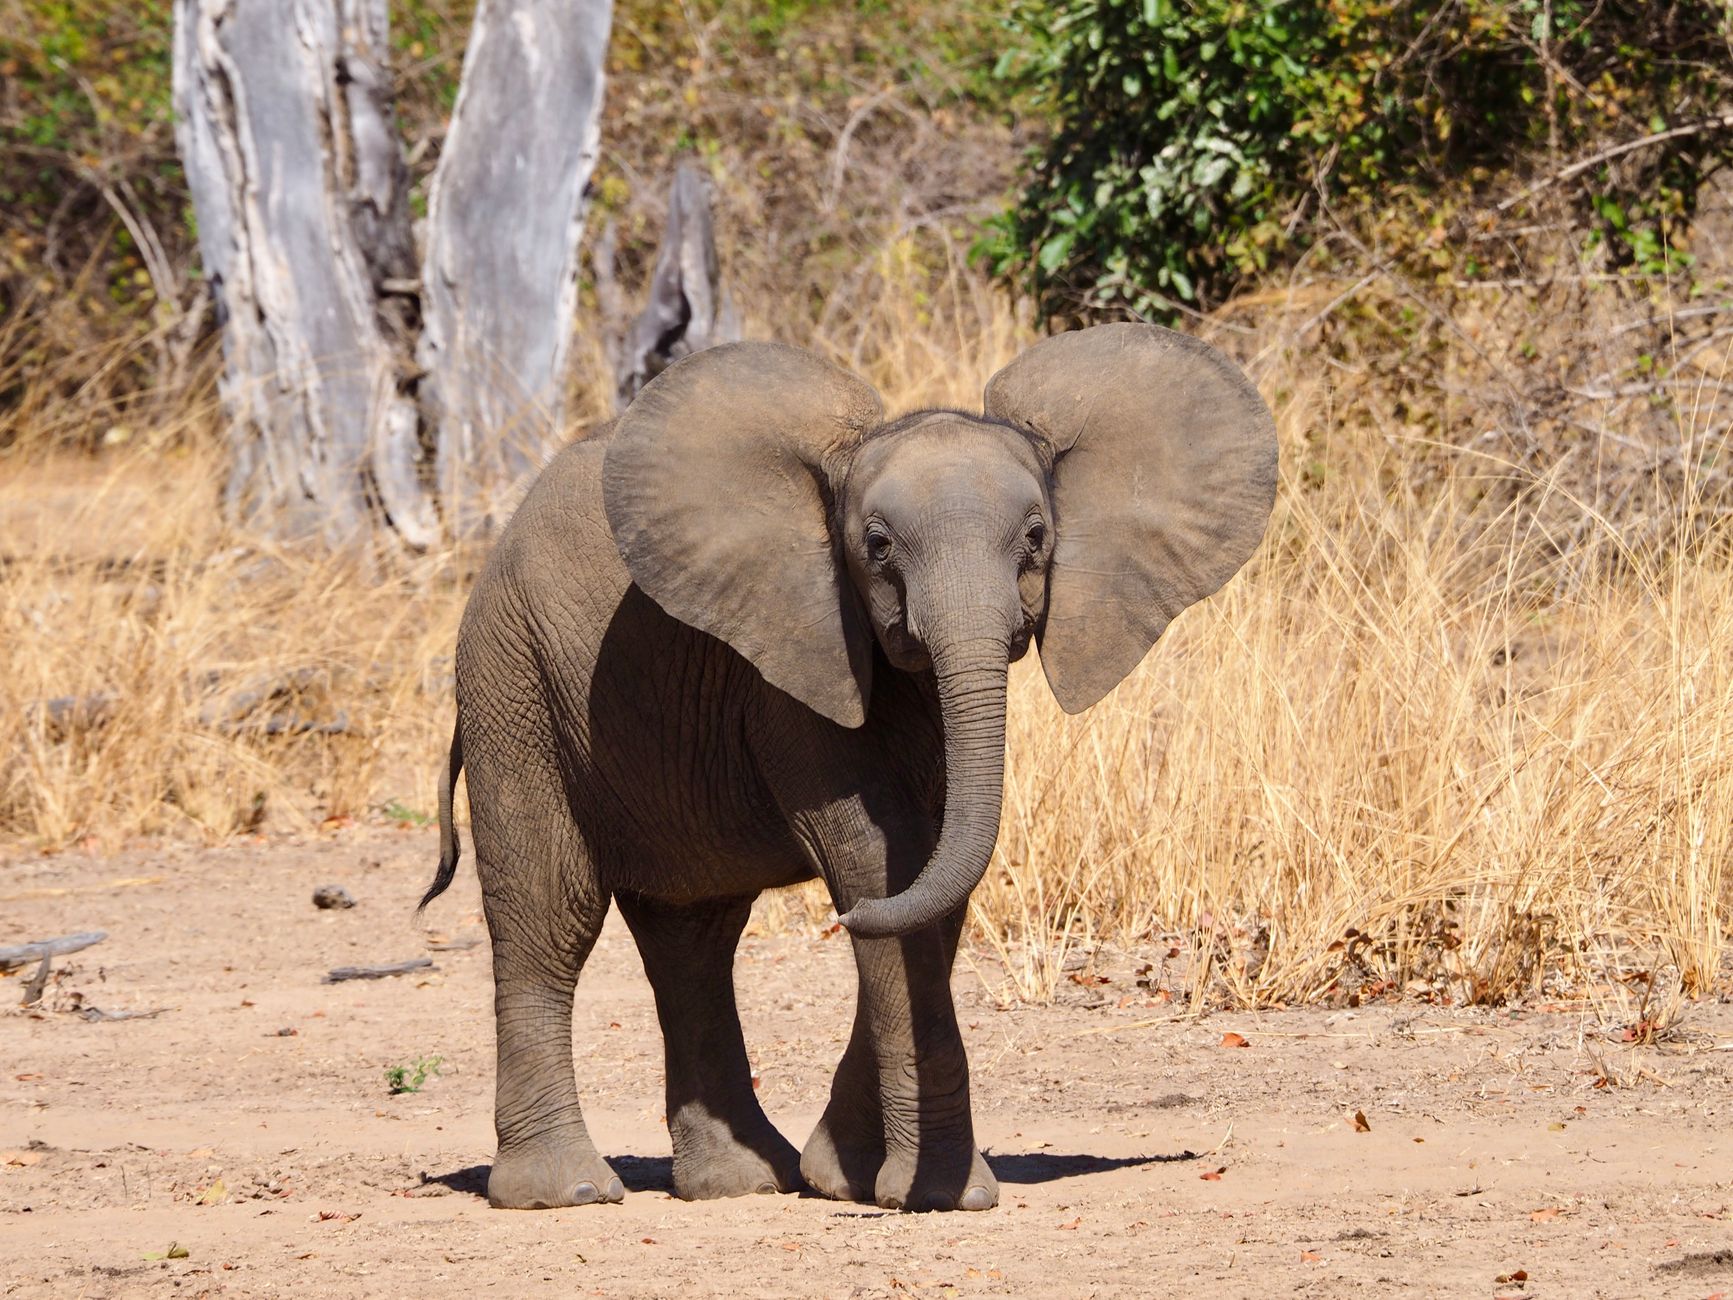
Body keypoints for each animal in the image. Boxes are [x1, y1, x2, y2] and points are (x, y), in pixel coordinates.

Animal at [419, 322, 1277, 1214]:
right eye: (876, 545)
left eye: (1037, 538)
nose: (839, 920)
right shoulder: (795, 657)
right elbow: (878, 857)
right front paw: (943, 1195)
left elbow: (928, 874)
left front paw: (844, 1179)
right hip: (511, 680)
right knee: (549, 915)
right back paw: (568, 1192)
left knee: (692, 937)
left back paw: (741, 1183)